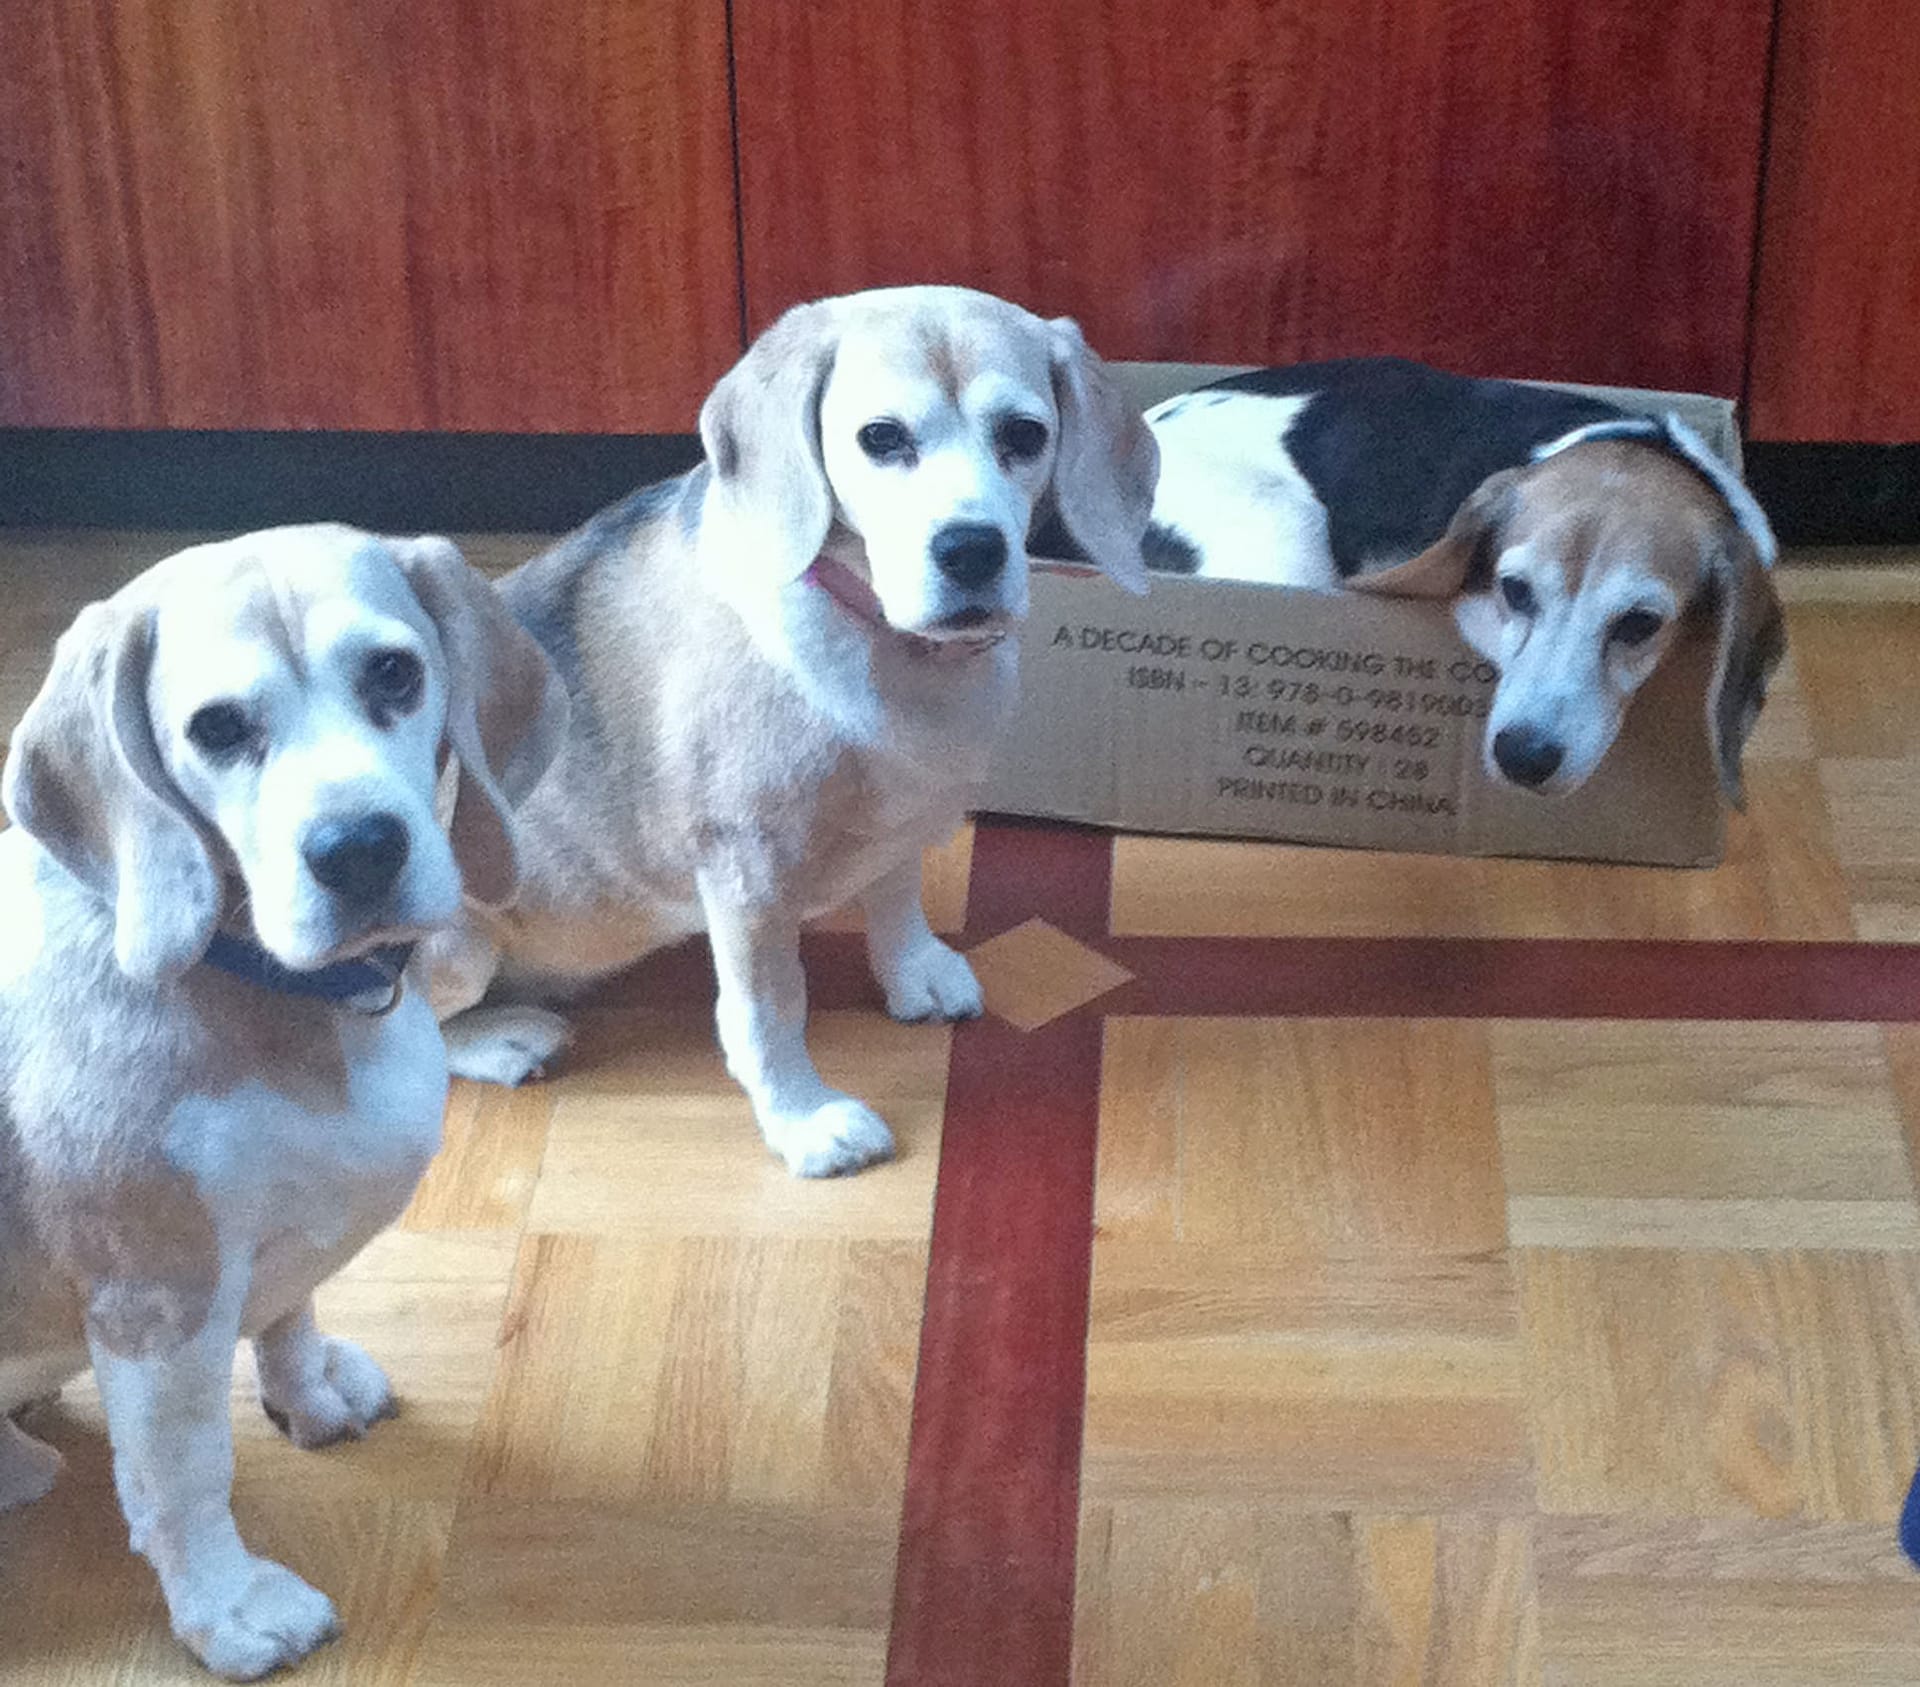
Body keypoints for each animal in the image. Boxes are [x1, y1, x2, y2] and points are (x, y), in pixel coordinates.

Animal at [0, 525, 565, 1678]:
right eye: (217, 729)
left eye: (393, 672)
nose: (358, 849)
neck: (288, 992)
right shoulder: (159, 1306)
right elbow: (184, 1480)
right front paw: (229, 1606)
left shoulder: (289, 1236)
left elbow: (291, 1312)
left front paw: (309, 1396)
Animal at [421, 285, 1157, 1177]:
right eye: (881, 438)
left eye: (1024, 434)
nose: (972, 550)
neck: (886, 642)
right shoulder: (749, 871)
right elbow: (769, 1012)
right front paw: (803, 1119)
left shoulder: (899, 814)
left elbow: (895, 893)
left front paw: (912, 970)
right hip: (456, 948)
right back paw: (504, 1038)